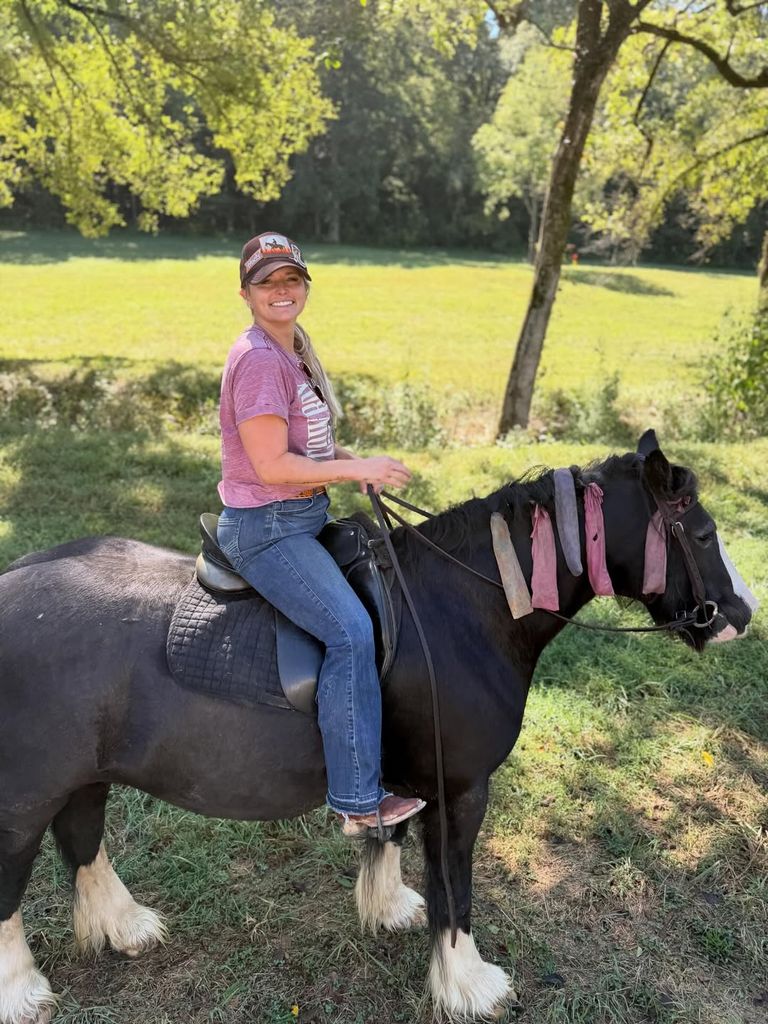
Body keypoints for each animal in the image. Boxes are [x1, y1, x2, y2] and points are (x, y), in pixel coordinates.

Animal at [0, 434, 753, 1024]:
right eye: (703, 534)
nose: (741, 615)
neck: (460, 605)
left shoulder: (403, 772)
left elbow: (390, 834)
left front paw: (388, 907)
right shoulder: (460, 788)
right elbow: (455, 886)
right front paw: (466, 981)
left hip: (86, 773)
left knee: (82, 836)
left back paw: (122, 925)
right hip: (26, 793)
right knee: (14, 876)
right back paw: (21, 990)